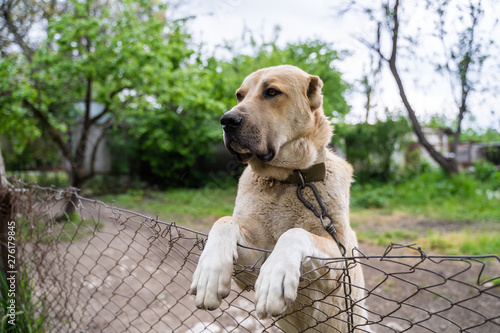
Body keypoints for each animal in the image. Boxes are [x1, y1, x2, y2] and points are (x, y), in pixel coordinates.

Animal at [189, 65, 366, 332]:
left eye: (272, 92)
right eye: (239, 96)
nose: (226, 120)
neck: (289, 180)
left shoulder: (341, 258)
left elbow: (294, 232)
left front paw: (276, 274)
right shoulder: (251, 264)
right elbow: (224, 221)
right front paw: (209, 272)